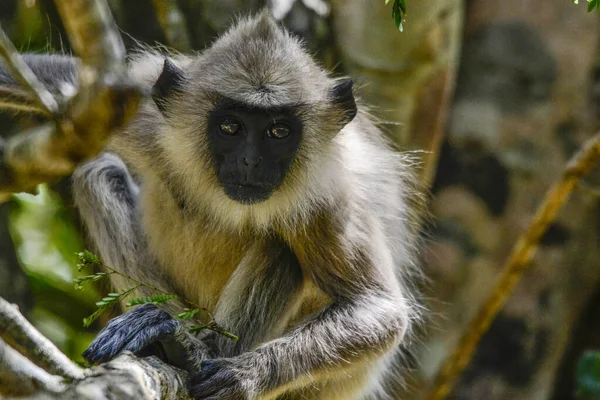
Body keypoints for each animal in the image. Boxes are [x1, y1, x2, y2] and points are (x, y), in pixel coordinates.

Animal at [1, 10, 422, 400]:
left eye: (278, 132)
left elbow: (378, 308)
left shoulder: (328, 196)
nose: (250, 161)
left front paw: (244, 376)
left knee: (280, 245)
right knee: (98, 174)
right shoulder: (147, 113)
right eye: (230, 127)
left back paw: (194, 350)